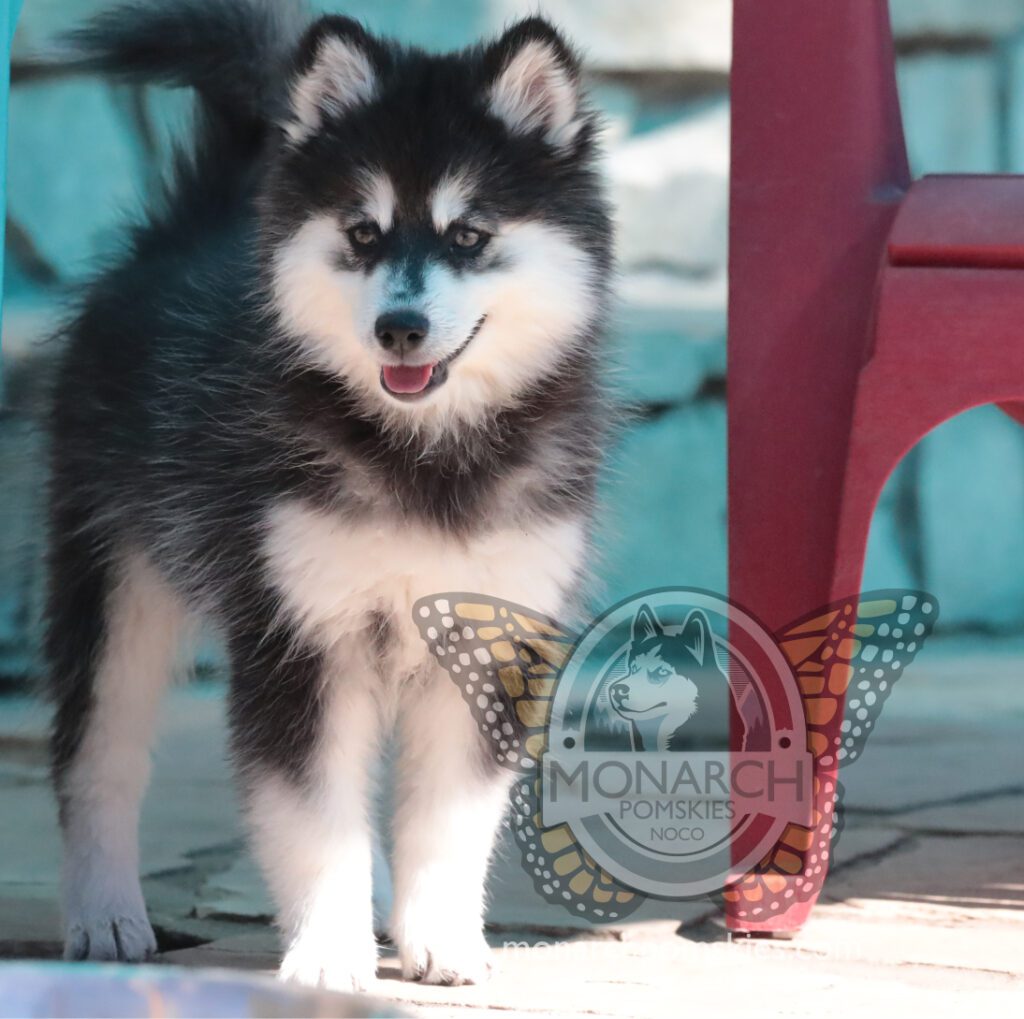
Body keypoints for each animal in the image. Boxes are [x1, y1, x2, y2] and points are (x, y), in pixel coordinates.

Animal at [44, 0, 610, 987]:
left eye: (468, 236)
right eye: (363, 233)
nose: (399, 327)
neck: (425, 455)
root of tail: (187, 230)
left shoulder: (488, 639)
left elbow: (448, 819)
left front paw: (442, 938)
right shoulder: (299, 632)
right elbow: (311, 814)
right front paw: (327, 953)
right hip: (113, 579)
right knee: (98, 758)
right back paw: (106, 914)